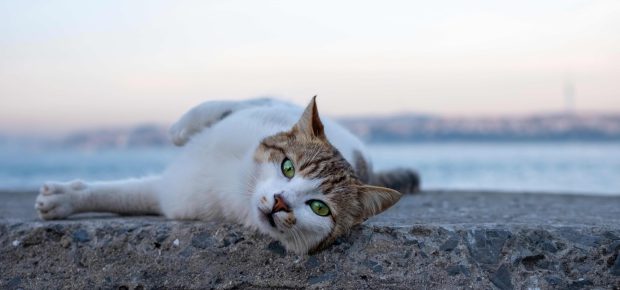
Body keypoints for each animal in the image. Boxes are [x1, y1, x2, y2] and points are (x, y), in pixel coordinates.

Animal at [35, 97, 422, 254]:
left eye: (320, 208)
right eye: (288, 167)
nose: (281, 203)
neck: (237, 183)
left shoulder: (172, 194)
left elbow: (124, 196)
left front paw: (63, 200)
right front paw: (65, 198)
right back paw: (184, 126)